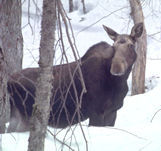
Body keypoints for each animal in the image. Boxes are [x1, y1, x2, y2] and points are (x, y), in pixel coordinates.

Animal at [6, 22, 143, 132]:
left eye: (131, 45)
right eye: (114, 46)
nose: (116, 69)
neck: (118, 82)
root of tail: (8, 81)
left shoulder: (112, 112)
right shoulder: (96, 113)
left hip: (17, 115)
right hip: (26, 116)